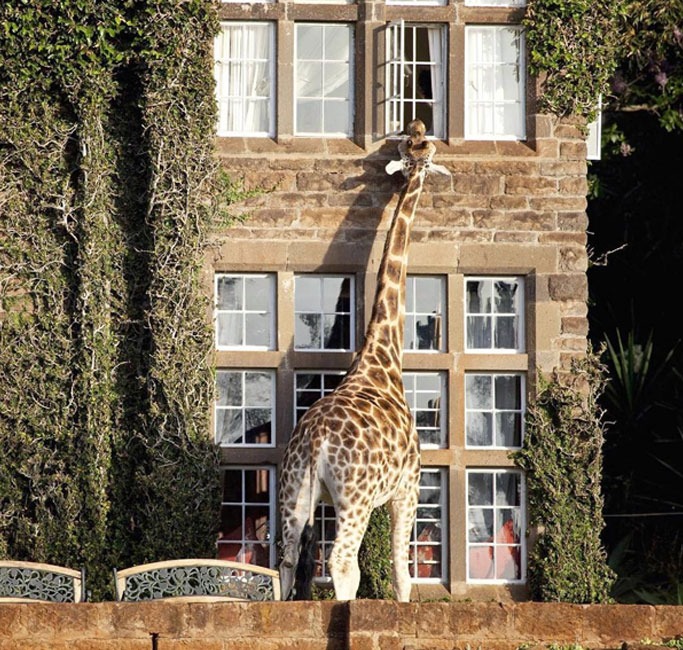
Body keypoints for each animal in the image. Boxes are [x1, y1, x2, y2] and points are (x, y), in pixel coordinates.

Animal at [280, 119, 440, 600]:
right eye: (422, 151)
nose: (422, 135)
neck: (383, 355)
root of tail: (315, 442)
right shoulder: (409, 484)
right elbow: (402, 570)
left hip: (296, 491)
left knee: (287, 560)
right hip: (356, 497)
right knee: (342, 563)